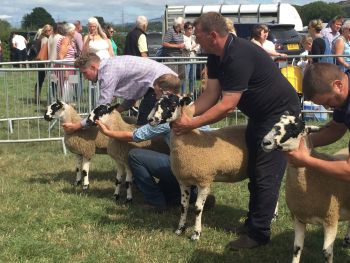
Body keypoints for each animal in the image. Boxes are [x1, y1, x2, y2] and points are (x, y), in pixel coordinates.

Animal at [147, 94, 249, 241]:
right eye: (157, 102)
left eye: (173, 103)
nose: (150, 120)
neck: (190, 139)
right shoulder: (183, 181)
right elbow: (183, 206)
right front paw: (180, 230)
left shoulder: (204, 180)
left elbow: (197, 208)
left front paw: (196, 234)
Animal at [262, 114, 350, 263]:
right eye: (277, 122)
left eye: (295, 128)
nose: (266, 142)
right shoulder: (298, 218)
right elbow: (297, 248)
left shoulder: (331, 218)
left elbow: (326, 253)